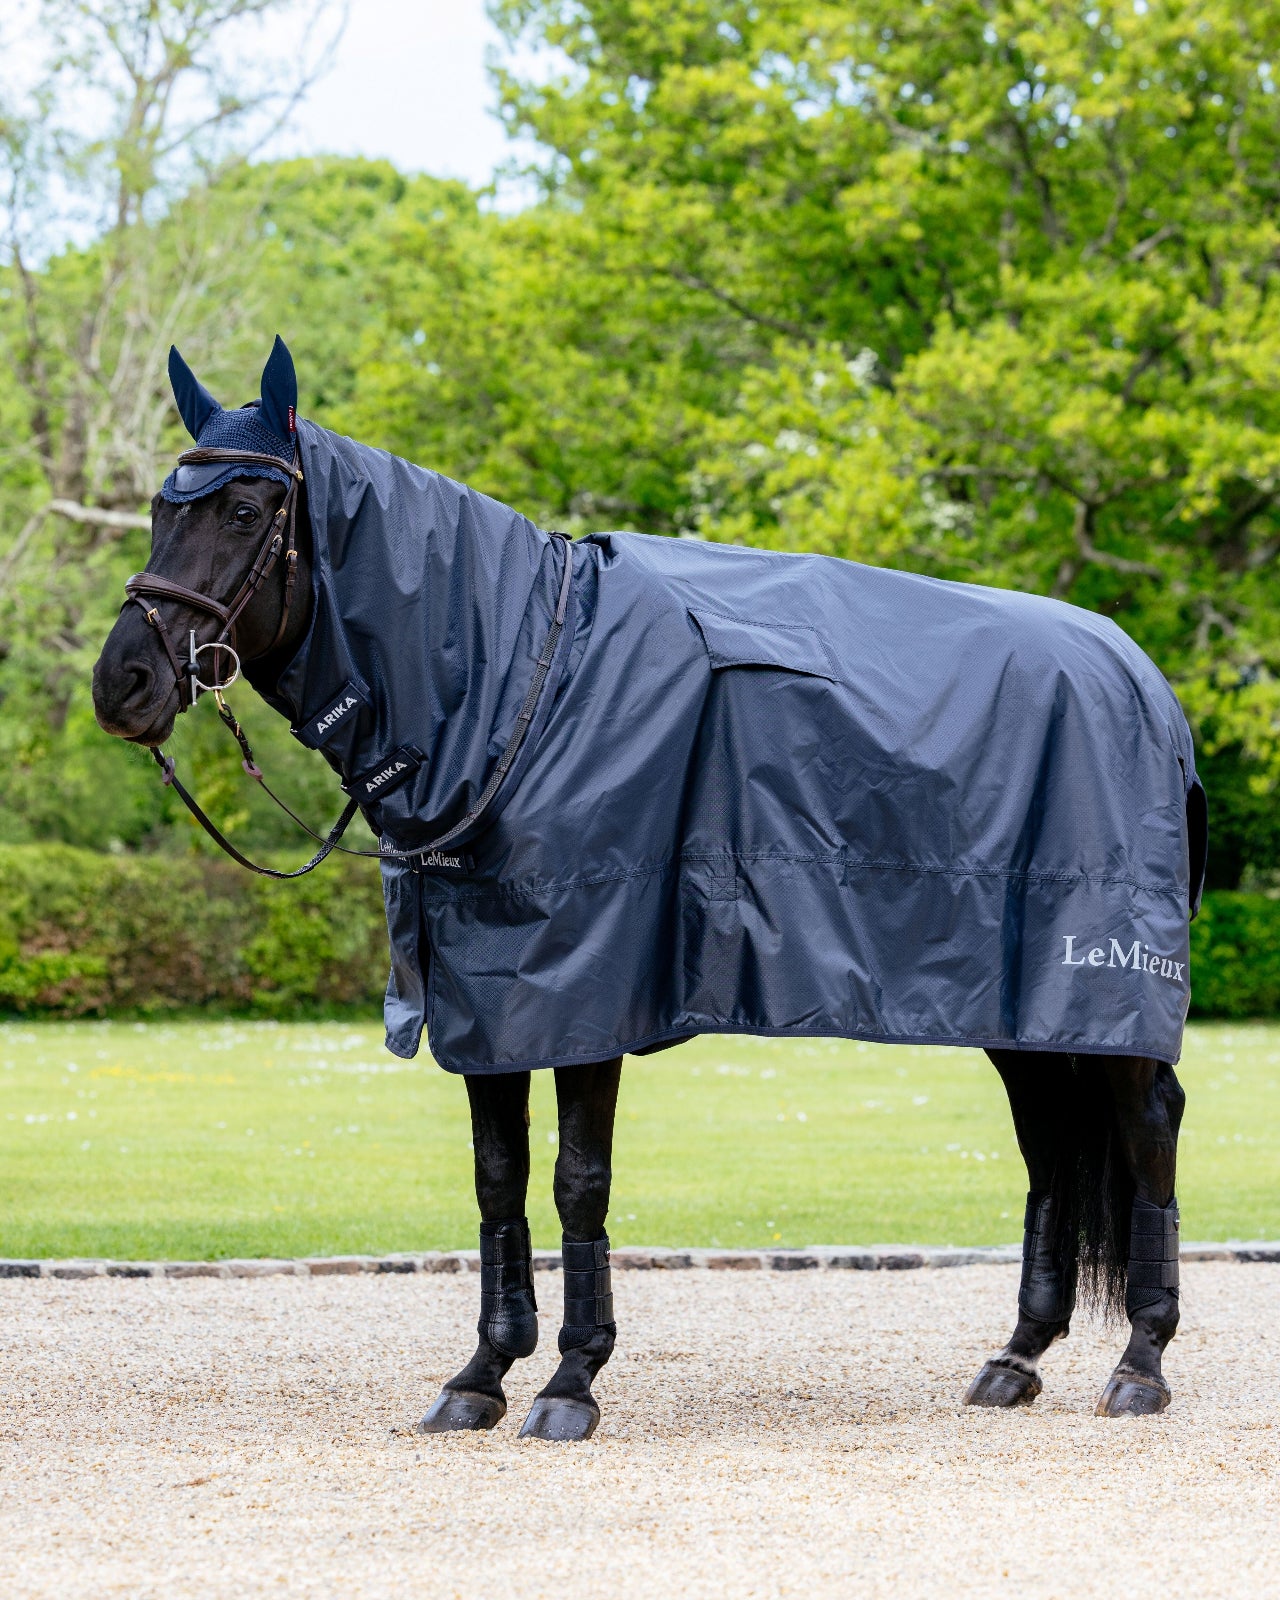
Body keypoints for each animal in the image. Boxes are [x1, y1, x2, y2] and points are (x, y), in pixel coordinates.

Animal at [92, 337, 1201, 1441]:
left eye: (244, 511)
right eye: (157, 507)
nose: (123, 684)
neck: (527, 685)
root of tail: (1145, 682)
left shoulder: (588, 998)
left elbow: (577, 1184)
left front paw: (570, 1380)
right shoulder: (488, 1006)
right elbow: (498, 1182)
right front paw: (481, 1374)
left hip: (1103, 984)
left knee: (1146, 1128)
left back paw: (1140, 1363)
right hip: (1018, 1009)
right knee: (1048, 1142)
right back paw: (1016, 1358)